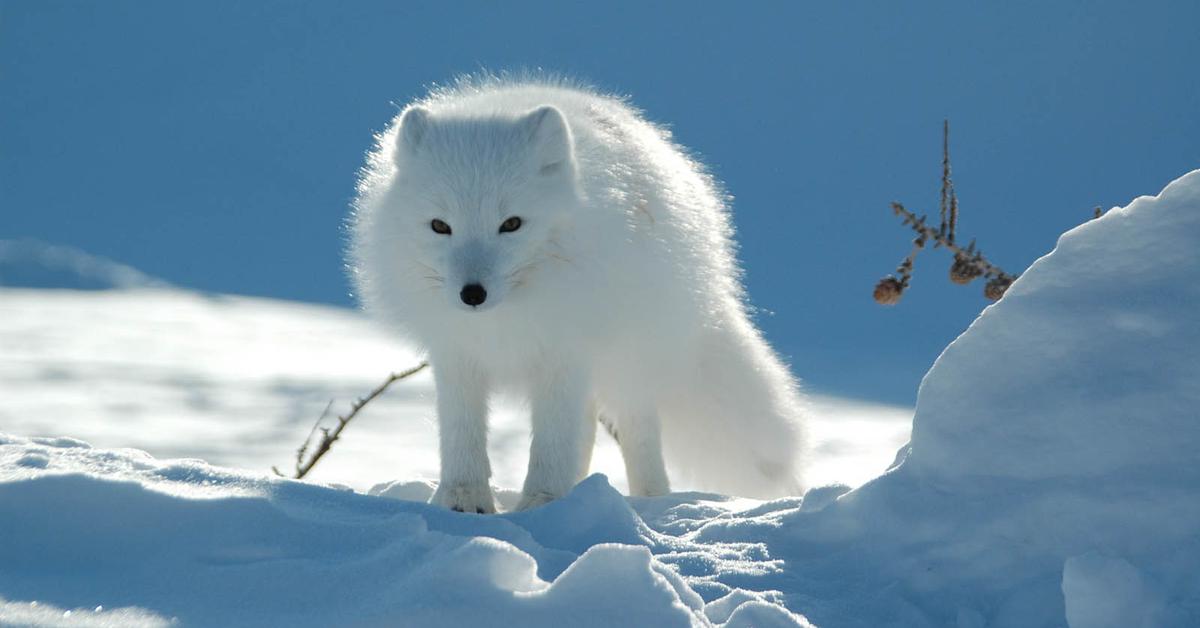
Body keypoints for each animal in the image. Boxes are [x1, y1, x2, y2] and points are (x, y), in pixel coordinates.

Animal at [350, 76, 811, 513]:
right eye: (440, 226)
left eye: (511, 224)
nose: (472, 294)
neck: (507, 318)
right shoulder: (456, 353)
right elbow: (462, 433)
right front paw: (463, 500)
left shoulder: (565, 350)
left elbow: (553, 441)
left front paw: (543, 503)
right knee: (587, 428)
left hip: (630, 359)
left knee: (636, 431)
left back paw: (649, 501)